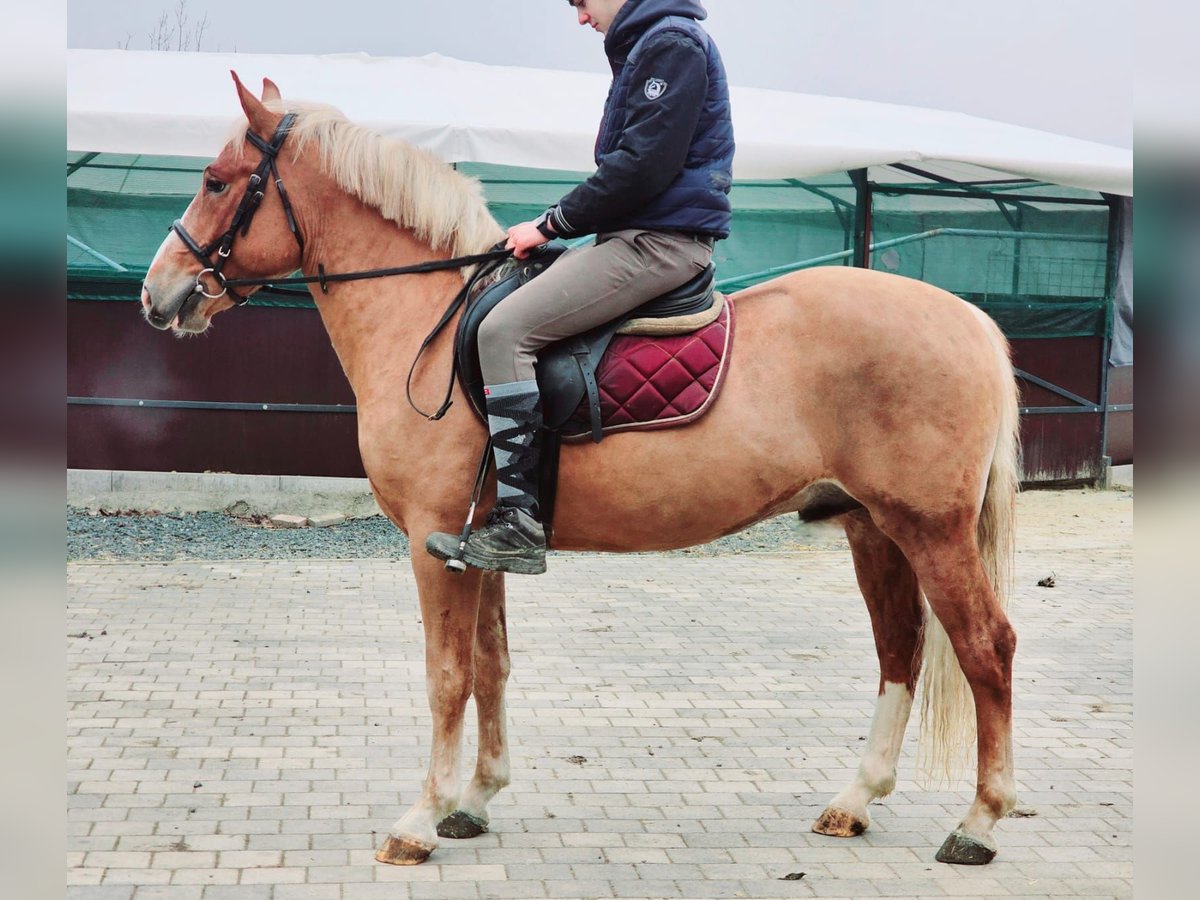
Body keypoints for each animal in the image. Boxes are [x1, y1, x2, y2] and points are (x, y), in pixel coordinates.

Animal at [140, 75, 1022, 868]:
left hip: (930, 531)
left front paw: (419, 821)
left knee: (986, 648)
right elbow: (490, 667)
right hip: (871, 527)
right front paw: (474, 801)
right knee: (900, 648)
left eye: (216, 180)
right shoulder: (476, 548)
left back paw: (978, 824)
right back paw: (856, 800)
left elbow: (446, 676)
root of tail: (969, 319)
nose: (158, 295)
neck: (432, 322)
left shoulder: (431, 540)